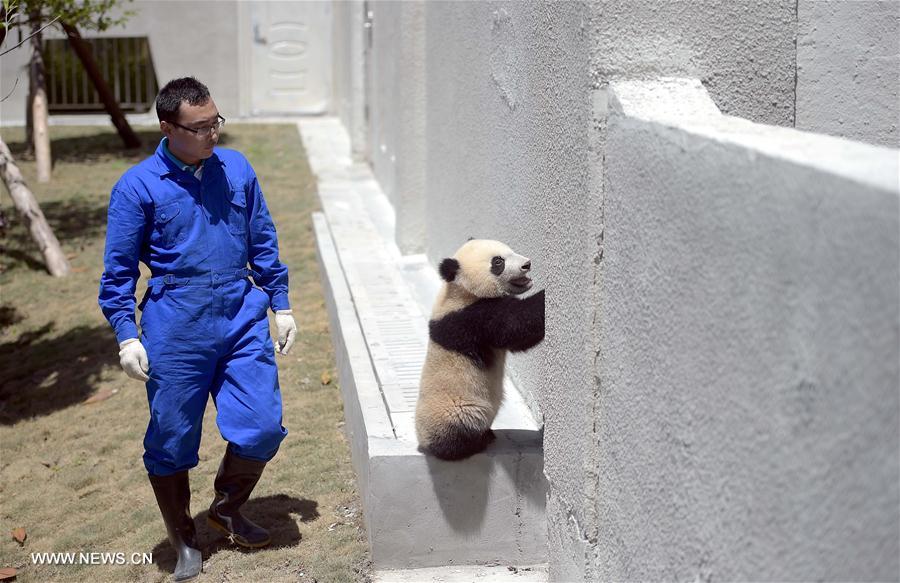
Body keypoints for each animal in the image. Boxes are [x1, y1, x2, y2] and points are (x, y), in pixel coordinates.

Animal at [414, 240, 540, 464]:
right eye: (498, 262)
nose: (527, 264)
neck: (458, 289)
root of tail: (422, 441)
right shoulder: (468, 318)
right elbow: (517, 327)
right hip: (455, 409)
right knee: (455, 431)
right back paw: (471, 445)